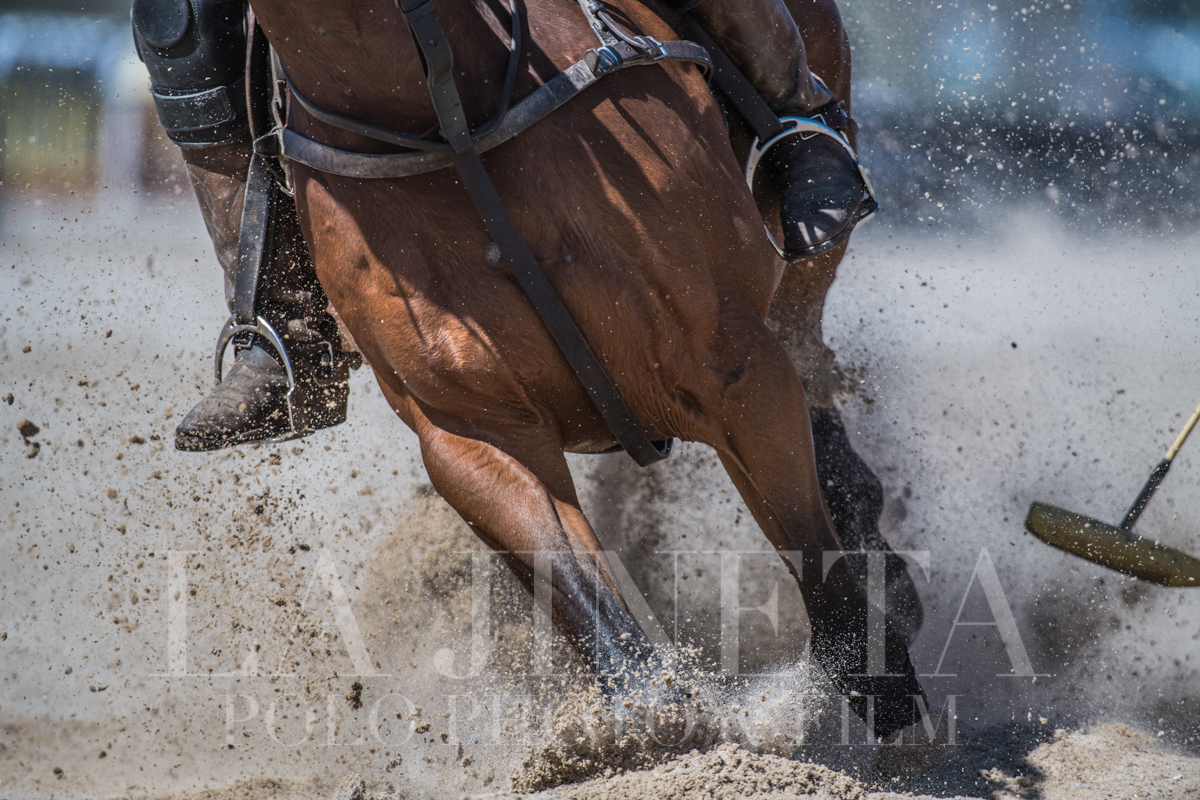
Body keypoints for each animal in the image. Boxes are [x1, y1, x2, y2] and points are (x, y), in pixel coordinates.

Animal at [248, 0, 921, 734]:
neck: (433, 106)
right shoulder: (475, 431)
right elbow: (580, 594)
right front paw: (647, 722)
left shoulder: (732, 367)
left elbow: (821, 572)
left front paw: (882, 684)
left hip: (801, 272)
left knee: (809, 357)